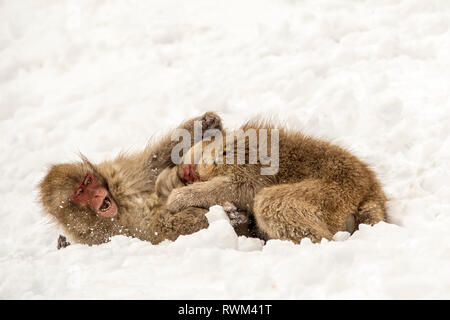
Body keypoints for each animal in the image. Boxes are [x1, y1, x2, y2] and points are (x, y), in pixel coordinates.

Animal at [157, 120, 386, 242]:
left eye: (190, 177)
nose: (186, 176)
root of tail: (371, 190)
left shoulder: (243, 156)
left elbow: (242, 187)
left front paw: (180, 197)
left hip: (335, 193)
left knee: (271, 202)